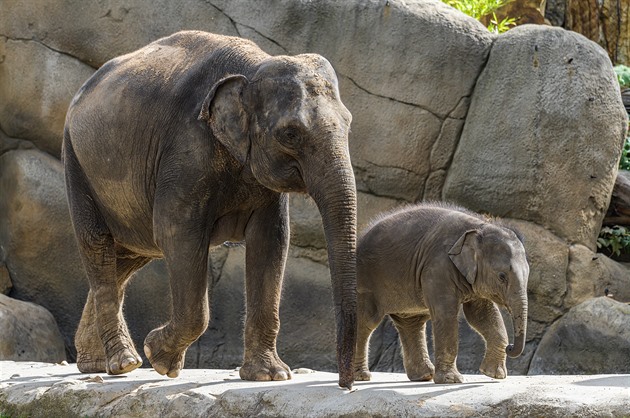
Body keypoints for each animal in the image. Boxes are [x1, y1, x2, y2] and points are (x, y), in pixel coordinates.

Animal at [65, 31, 360, 390]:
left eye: (348, 124)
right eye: (290, 134)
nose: (347, 384)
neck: (254, 66)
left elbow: (271, 240)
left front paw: (268, 375)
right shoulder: (186, 149)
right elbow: (178, 233)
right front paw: (159, 358)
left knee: (127, 259)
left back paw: (95, 363)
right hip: (77, 163)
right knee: (99, 247)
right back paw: (125, 362)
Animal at [354, 202, 532, 382]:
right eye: (502, 276)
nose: (510, 347)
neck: (480, 225)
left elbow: (481, 315)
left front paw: (494, 374)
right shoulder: (438, 267)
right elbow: (446, 314)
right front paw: (451, 380)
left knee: (411, 323)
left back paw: (424, 376)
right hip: (365, 280)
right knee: (366, 321)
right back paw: (362, 376)